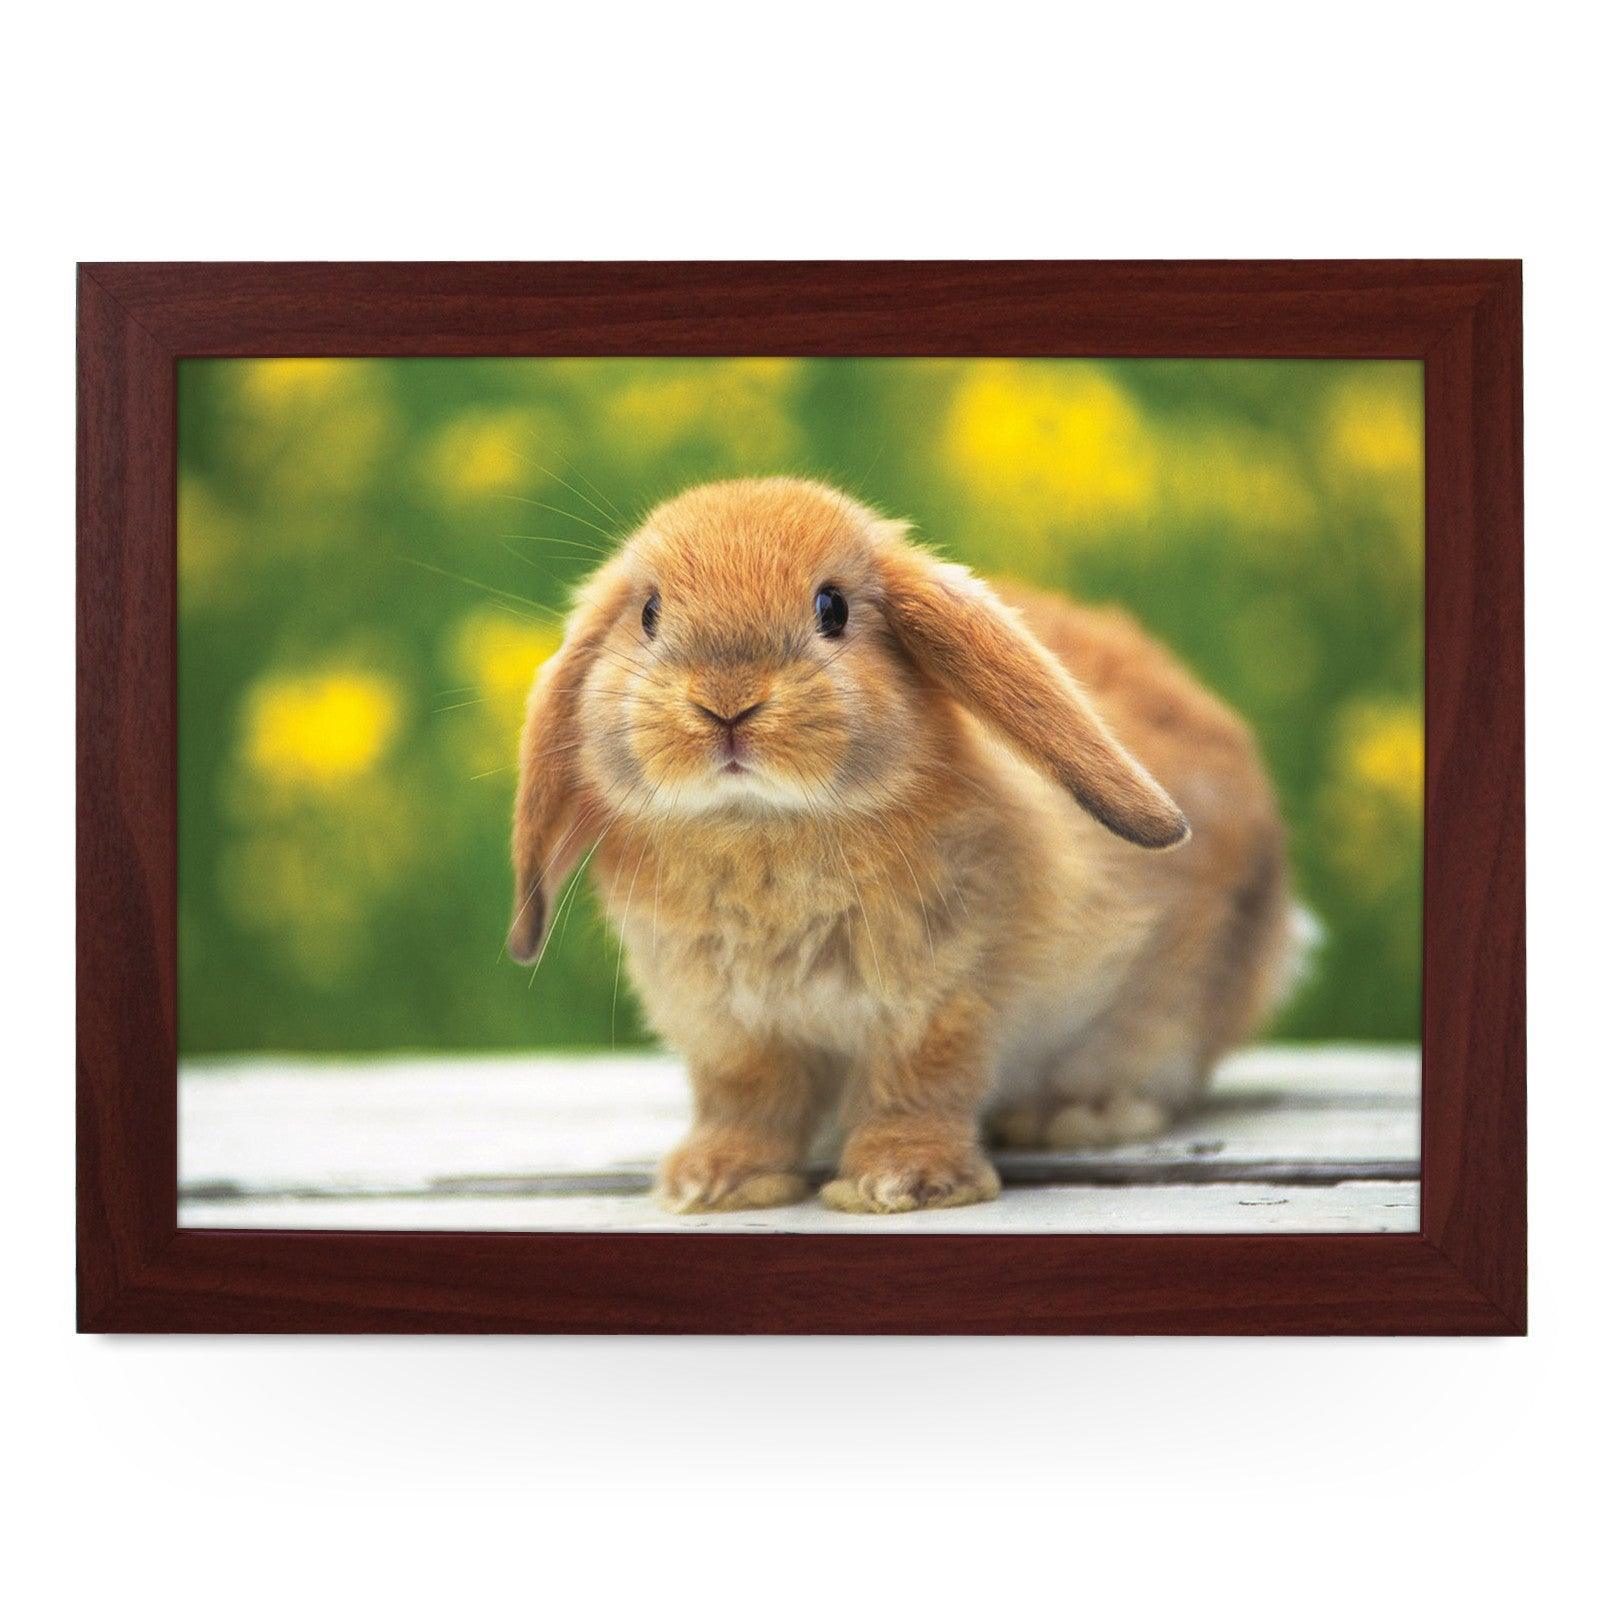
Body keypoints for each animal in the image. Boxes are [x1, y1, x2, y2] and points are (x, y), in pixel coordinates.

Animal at [509, 477, 1295, 1214]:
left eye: (832, 608)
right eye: (648, 613)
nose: (726, 702)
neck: (761, 825)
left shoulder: (941, 1000)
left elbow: (916, 1087)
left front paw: (899, 1183)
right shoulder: (725, 1027)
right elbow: (747, 1101)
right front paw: (714, 1183)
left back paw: (1080, 1115)